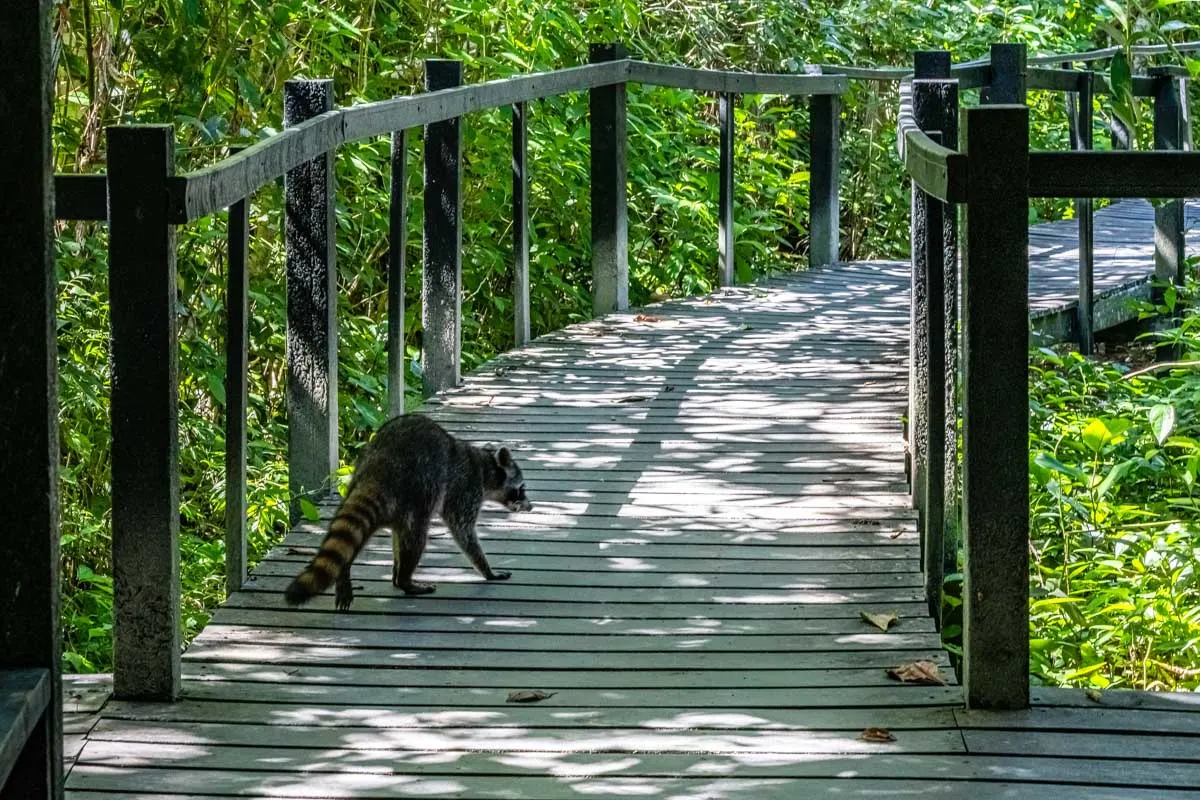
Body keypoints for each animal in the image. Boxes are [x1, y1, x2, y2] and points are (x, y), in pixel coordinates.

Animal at [283, 417, 532, 609]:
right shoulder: (465, 488)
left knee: (382, 534)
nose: (530, 506)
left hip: (374, 488)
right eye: (521, 488)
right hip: (417, 490)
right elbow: (463, 531)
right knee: (417, 538)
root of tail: (378, 467)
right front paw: (486, 569)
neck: (485, 466)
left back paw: (363, 573)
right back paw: (406, 581)